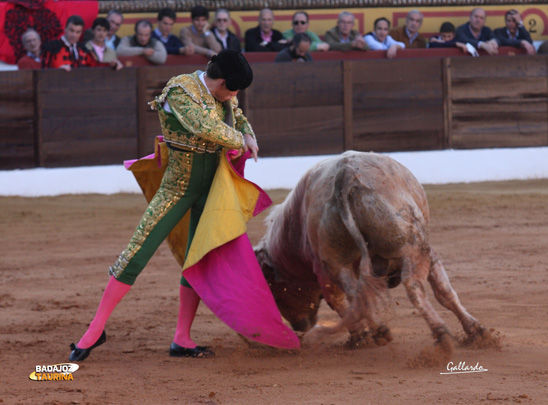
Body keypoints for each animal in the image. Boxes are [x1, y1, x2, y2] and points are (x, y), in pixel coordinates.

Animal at [255, 152, 490, 350]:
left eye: (277, 291)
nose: (299, 326)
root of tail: (345, 176)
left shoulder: (327, 268)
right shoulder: (428, 253)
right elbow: (445, 292)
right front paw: (476, 331)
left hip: (336, 261)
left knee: (353, 294)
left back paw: (376, 332)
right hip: (414, 245)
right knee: (412, 285)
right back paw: (440, 334)